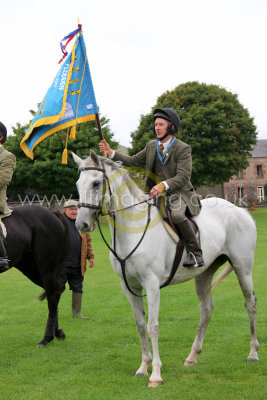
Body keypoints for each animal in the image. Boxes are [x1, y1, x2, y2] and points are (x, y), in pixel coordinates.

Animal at [1, 205, 68, 346]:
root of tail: (52, 212)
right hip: (29, 266)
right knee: (55, 292)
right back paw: (57, 332)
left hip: (45, 267)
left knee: (52, 296)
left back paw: (47, 338)